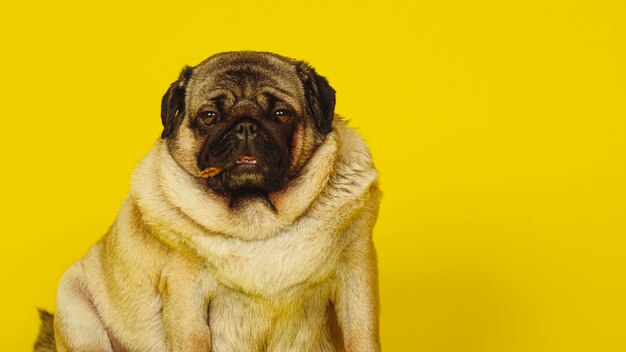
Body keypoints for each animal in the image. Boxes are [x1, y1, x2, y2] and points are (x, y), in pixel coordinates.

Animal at [35, 50, 380, 352]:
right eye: (210, 117)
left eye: (281, 114)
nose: (245, 125)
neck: (256, 218)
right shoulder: (186, 294)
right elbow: (192, 338)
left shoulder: (356, 273)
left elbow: (361, 334)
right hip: (76, 309)